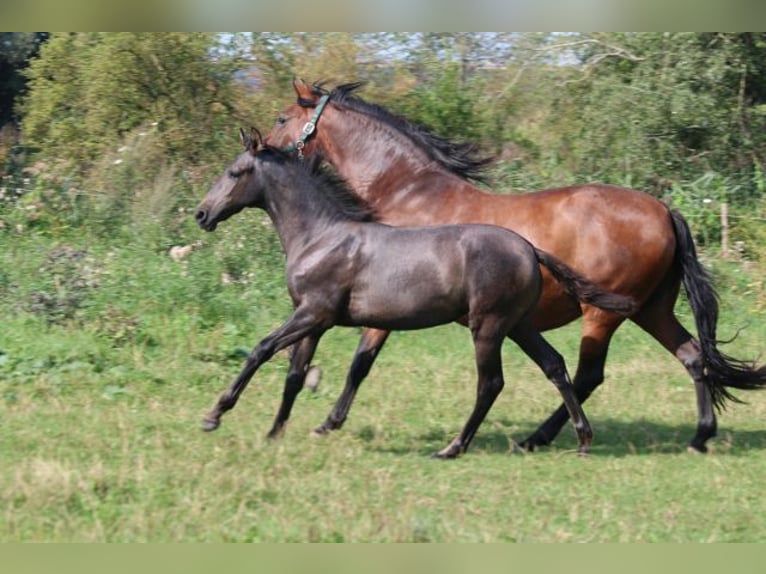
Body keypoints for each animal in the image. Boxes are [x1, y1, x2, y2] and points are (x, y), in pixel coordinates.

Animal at [195, 129, 640, 460]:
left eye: (235, 172)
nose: (202, 214)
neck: (322, 236)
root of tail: (529, 248)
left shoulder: (313, 313)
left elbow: (261, 349)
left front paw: (214, 415)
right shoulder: (313, 321)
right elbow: (294, 374)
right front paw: (276, 433)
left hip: (488, 327)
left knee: (491, 383)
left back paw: (453, 447)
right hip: (518, 325)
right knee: (555, 365)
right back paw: (580, 439)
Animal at [266, 79, 766, 454]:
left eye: (281, 119)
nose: (260, 151)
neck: (409, 193)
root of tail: (664, 210)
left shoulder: (385, 310)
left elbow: (360, 364)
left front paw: (328, 422)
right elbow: (359, 364)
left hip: (601, 315)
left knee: (587, 375)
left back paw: (538, 438)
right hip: (650, 310)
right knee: (692, 357)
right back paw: (698, 437)